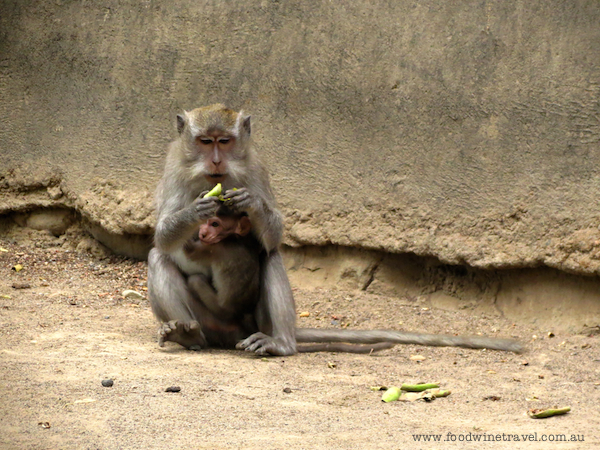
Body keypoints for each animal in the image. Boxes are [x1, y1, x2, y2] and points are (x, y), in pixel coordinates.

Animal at [148, 103, 524, 356]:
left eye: (224, 141)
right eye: (204, 141)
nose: (215, 162)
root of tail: (232, 333)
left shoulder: (255, 164)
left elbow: (272, 235)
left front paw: (251, 204)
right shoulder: (175, 166)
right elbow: (163, 236)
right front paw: (195, 210)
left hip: (255, 323)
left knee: (270, 256)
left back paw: (281, 344)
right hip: (210, 322)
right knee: (158, 259)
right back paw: (189, 336)